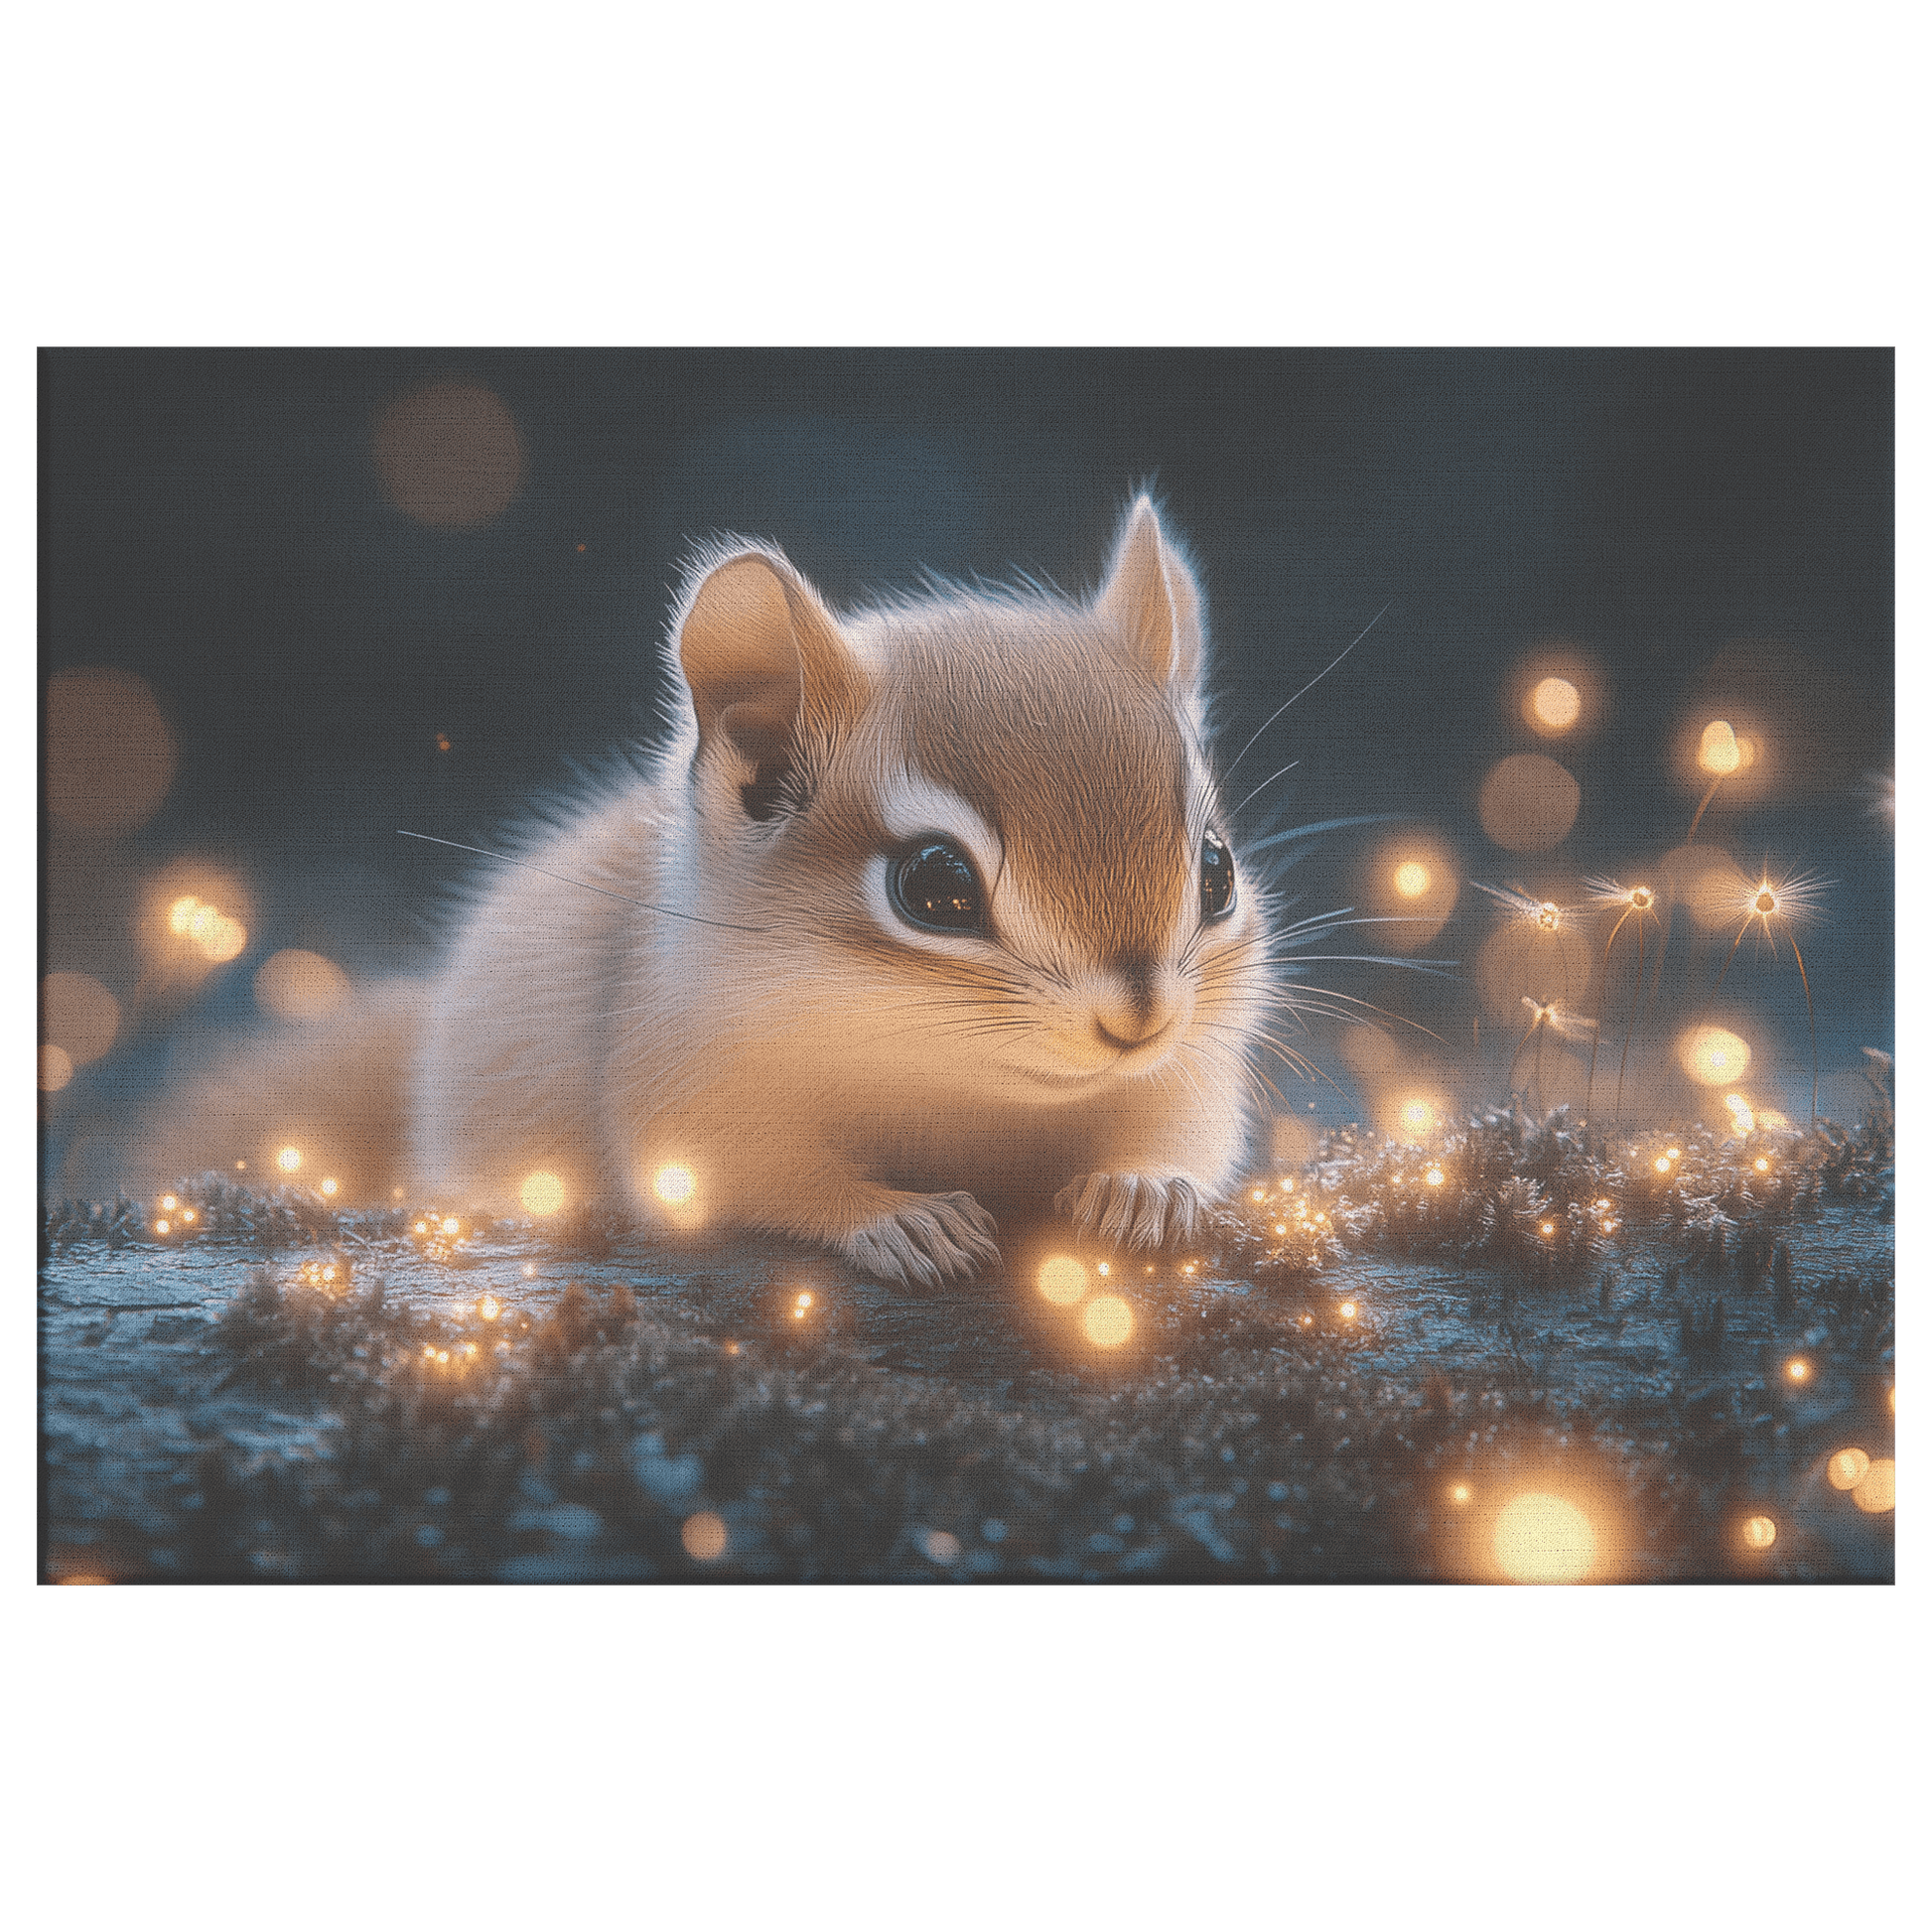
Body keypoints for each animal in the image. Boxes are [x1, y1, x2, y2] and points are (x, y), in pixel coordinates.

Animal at [140, 498, 1277, 1288]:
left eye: (1215, 869)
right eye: (935, 886)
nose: (1138, 1017)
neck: (969, 1087)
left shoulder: (1186, 1074)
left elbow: (1181, 1139)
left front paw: (1146, 1189)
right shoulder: (682, 1084)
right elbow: (753, 1176)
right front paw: (895, 1218)